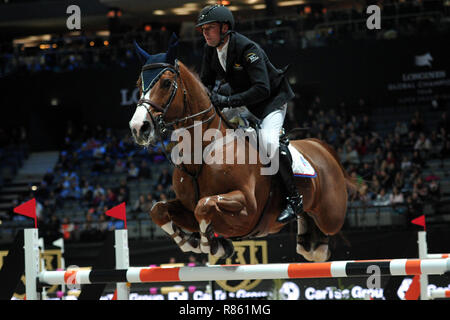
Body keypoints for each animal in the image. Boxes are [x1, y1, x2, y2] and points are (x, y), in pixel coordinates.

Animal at [129, 57, 356, 262]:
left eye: (166, 83)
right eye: (138, 85)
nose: (138, 128)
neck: (202, 151)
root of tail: (320, 146)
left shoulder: (247, 209)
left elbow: (205, 205)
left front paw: (213, 245)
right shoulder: (186, 207)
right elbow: (159, 210)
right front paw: (192, 242)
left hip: (331, 215)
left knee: (325, 235)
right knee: (309, 244)